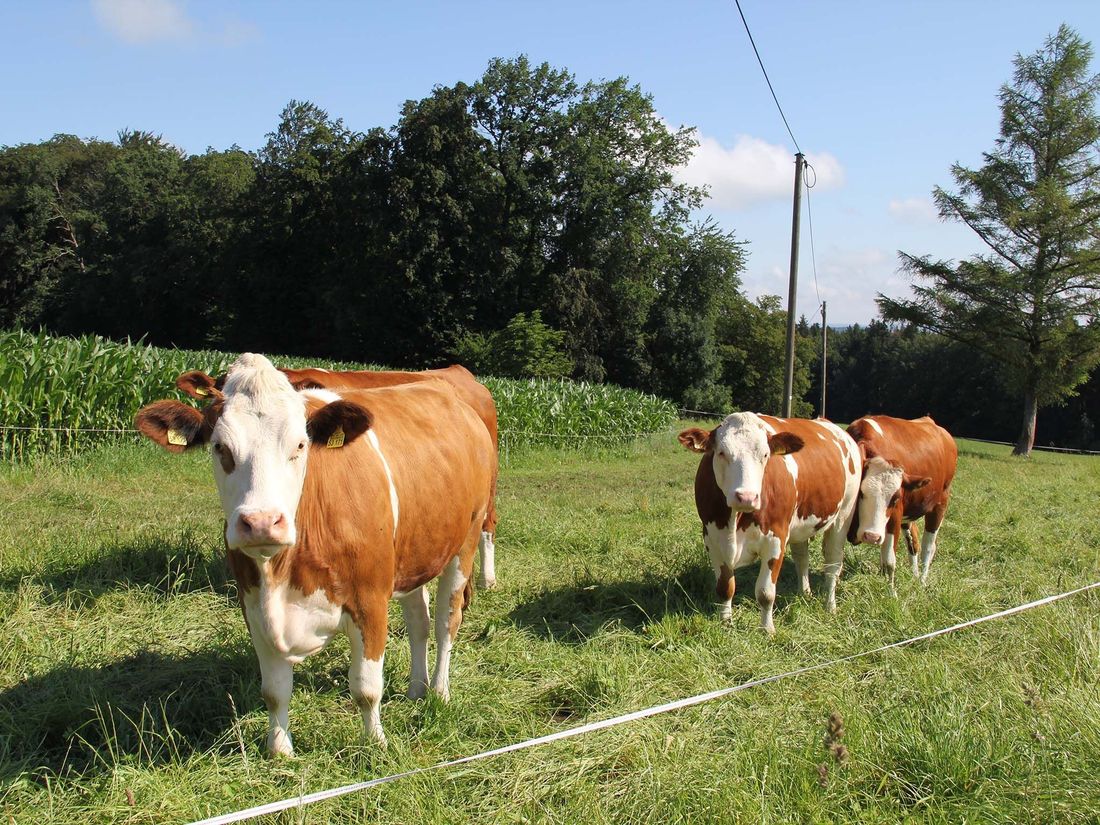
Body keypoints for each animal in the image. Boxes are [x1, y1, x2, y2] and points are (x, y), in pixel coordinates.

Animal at [679, 413, 861, 633]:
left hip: (843, 517)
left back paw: (830, 606)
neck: (735, 520)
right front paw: (726, 622)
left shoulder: (775, 539)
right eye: (721, 453)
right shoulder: (712, 539)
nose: (746, 497)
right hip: (800, 525)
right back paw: (804, 593)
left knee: (833, 564)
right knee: (802, 558)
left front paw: (767, 629)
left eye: (765, 455)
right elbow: (724, 588)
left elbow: (765, 593)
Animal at [846, 415, 957, 590]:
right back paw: (915, 575)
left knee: (928, 546)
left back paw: (922, 581)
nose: (871, 536)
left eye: (895, 498)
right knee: (914, 542)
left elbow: (889, 562)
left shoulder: (895, 515)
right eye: (861, 493)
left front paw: (891, 593)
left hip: (941, 503)